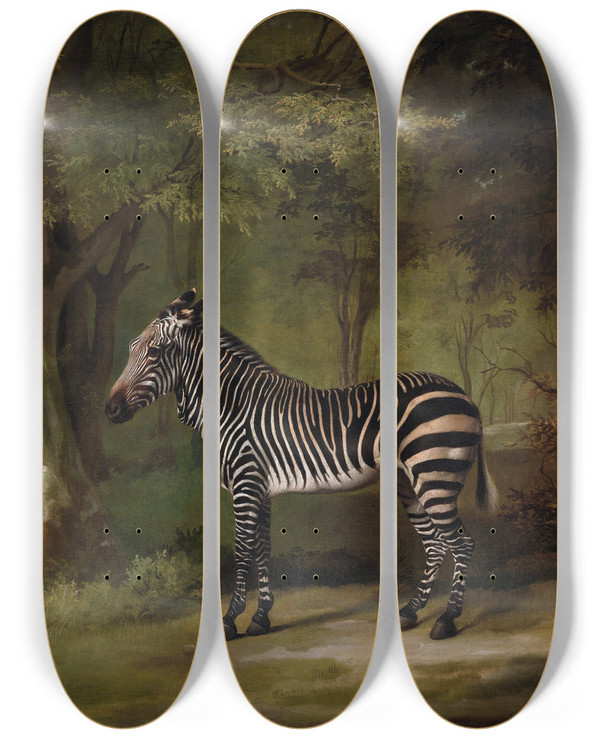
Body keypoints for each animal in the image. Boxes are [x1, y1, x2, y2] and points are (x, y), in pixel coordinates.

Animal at [106, 289, 496, 641]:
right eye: (131, 348)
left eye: (155, 352)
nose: (110, 409)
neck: (231, 407)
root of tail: (465, 396)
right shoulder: (260, 488)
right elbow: (262, 549)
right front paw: (260, 618)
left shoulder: (246, 484)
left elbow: (243, 551)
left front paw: (230, 621)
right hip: (410, 483)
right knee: (436, 546)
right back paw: (411, 612)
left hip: (434, 475)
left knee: (462, 545)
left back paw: (446, 620)